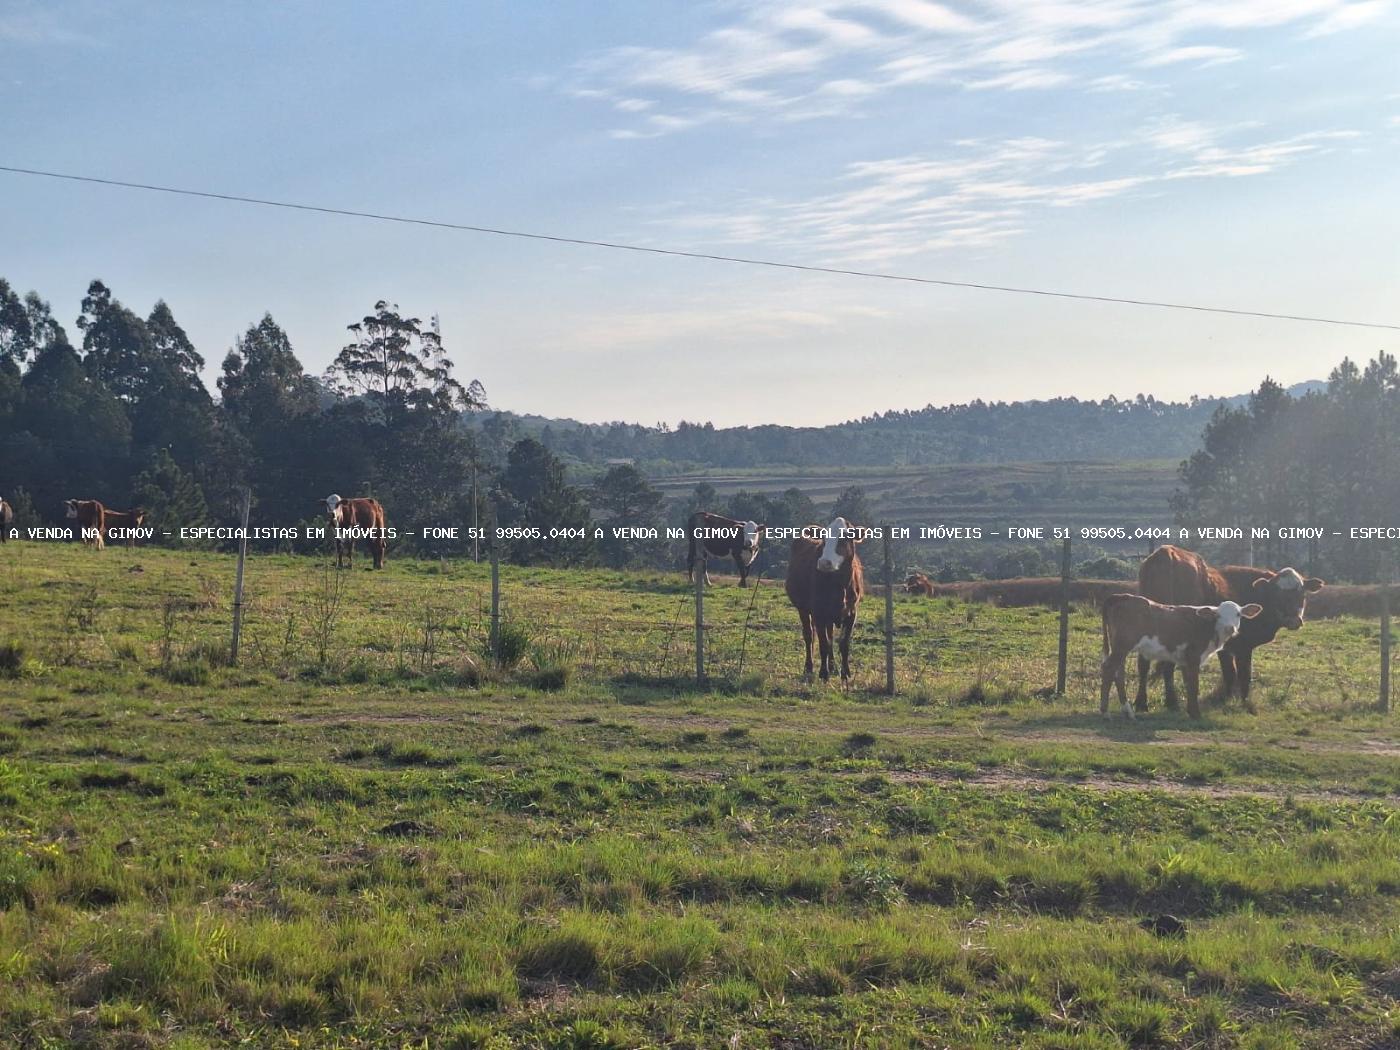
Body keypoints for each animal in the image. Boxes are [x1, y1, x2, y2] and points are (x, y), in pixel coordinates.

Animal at [789, 518, 862, 683]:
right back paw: (809, 668)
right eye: (823, 539)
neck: (839, 585)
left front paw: (845, 673)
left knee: (830, 636)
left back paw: (833, 666)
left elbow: (843, 643)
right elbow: (823, 644)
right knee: (809, 636)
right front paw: (823, 673)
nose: (824, 562)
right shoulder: (819, 613)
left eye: (844, 538)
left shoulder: (852, 613)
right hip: (803, 609)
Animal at [1097, 593, 1265, 722]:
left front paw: (1191, 711)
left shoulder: (1185, 660)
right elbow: (1194, 685)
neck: (1207, 625)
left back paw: (1128, 712)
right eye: (1218, 615)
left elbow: (1189, 685)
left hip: (1119, 647)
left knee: (1118, 674)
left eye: (1238, 614)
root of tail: (1121, 596)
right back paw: (1105, 712)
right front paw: (1196, 714)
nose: (1230, 628)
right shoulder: (1194, 655)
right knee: (1108, 668)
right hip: (1122, 645)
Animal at [1136, 543, 1321, 716]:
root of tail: (1167, 552)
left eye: (1302, 593)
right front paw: (1244, 703)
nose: (1293, 620)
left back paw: (1144, 703)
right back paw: (1171, 702)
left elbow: (1229, 672)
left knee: (1145, 664)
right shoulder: (1243, 646)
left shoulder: (1226, 647)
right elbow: (1243, 674)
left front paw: (1226, 699)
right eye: (1278, 594)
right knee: (1168, 666)